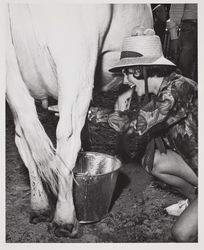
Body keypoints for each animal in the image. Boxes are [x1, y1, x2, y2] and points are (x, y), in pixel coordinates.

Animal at [5, 3, 153, 237]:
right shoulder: (126, 79)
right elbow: (122, 109)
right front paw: (122, 150)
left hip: (14, 83)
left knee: (25, 139)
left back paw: (40, 207)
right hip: (76, 68)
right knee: (66, 138)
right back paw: (65, 220)